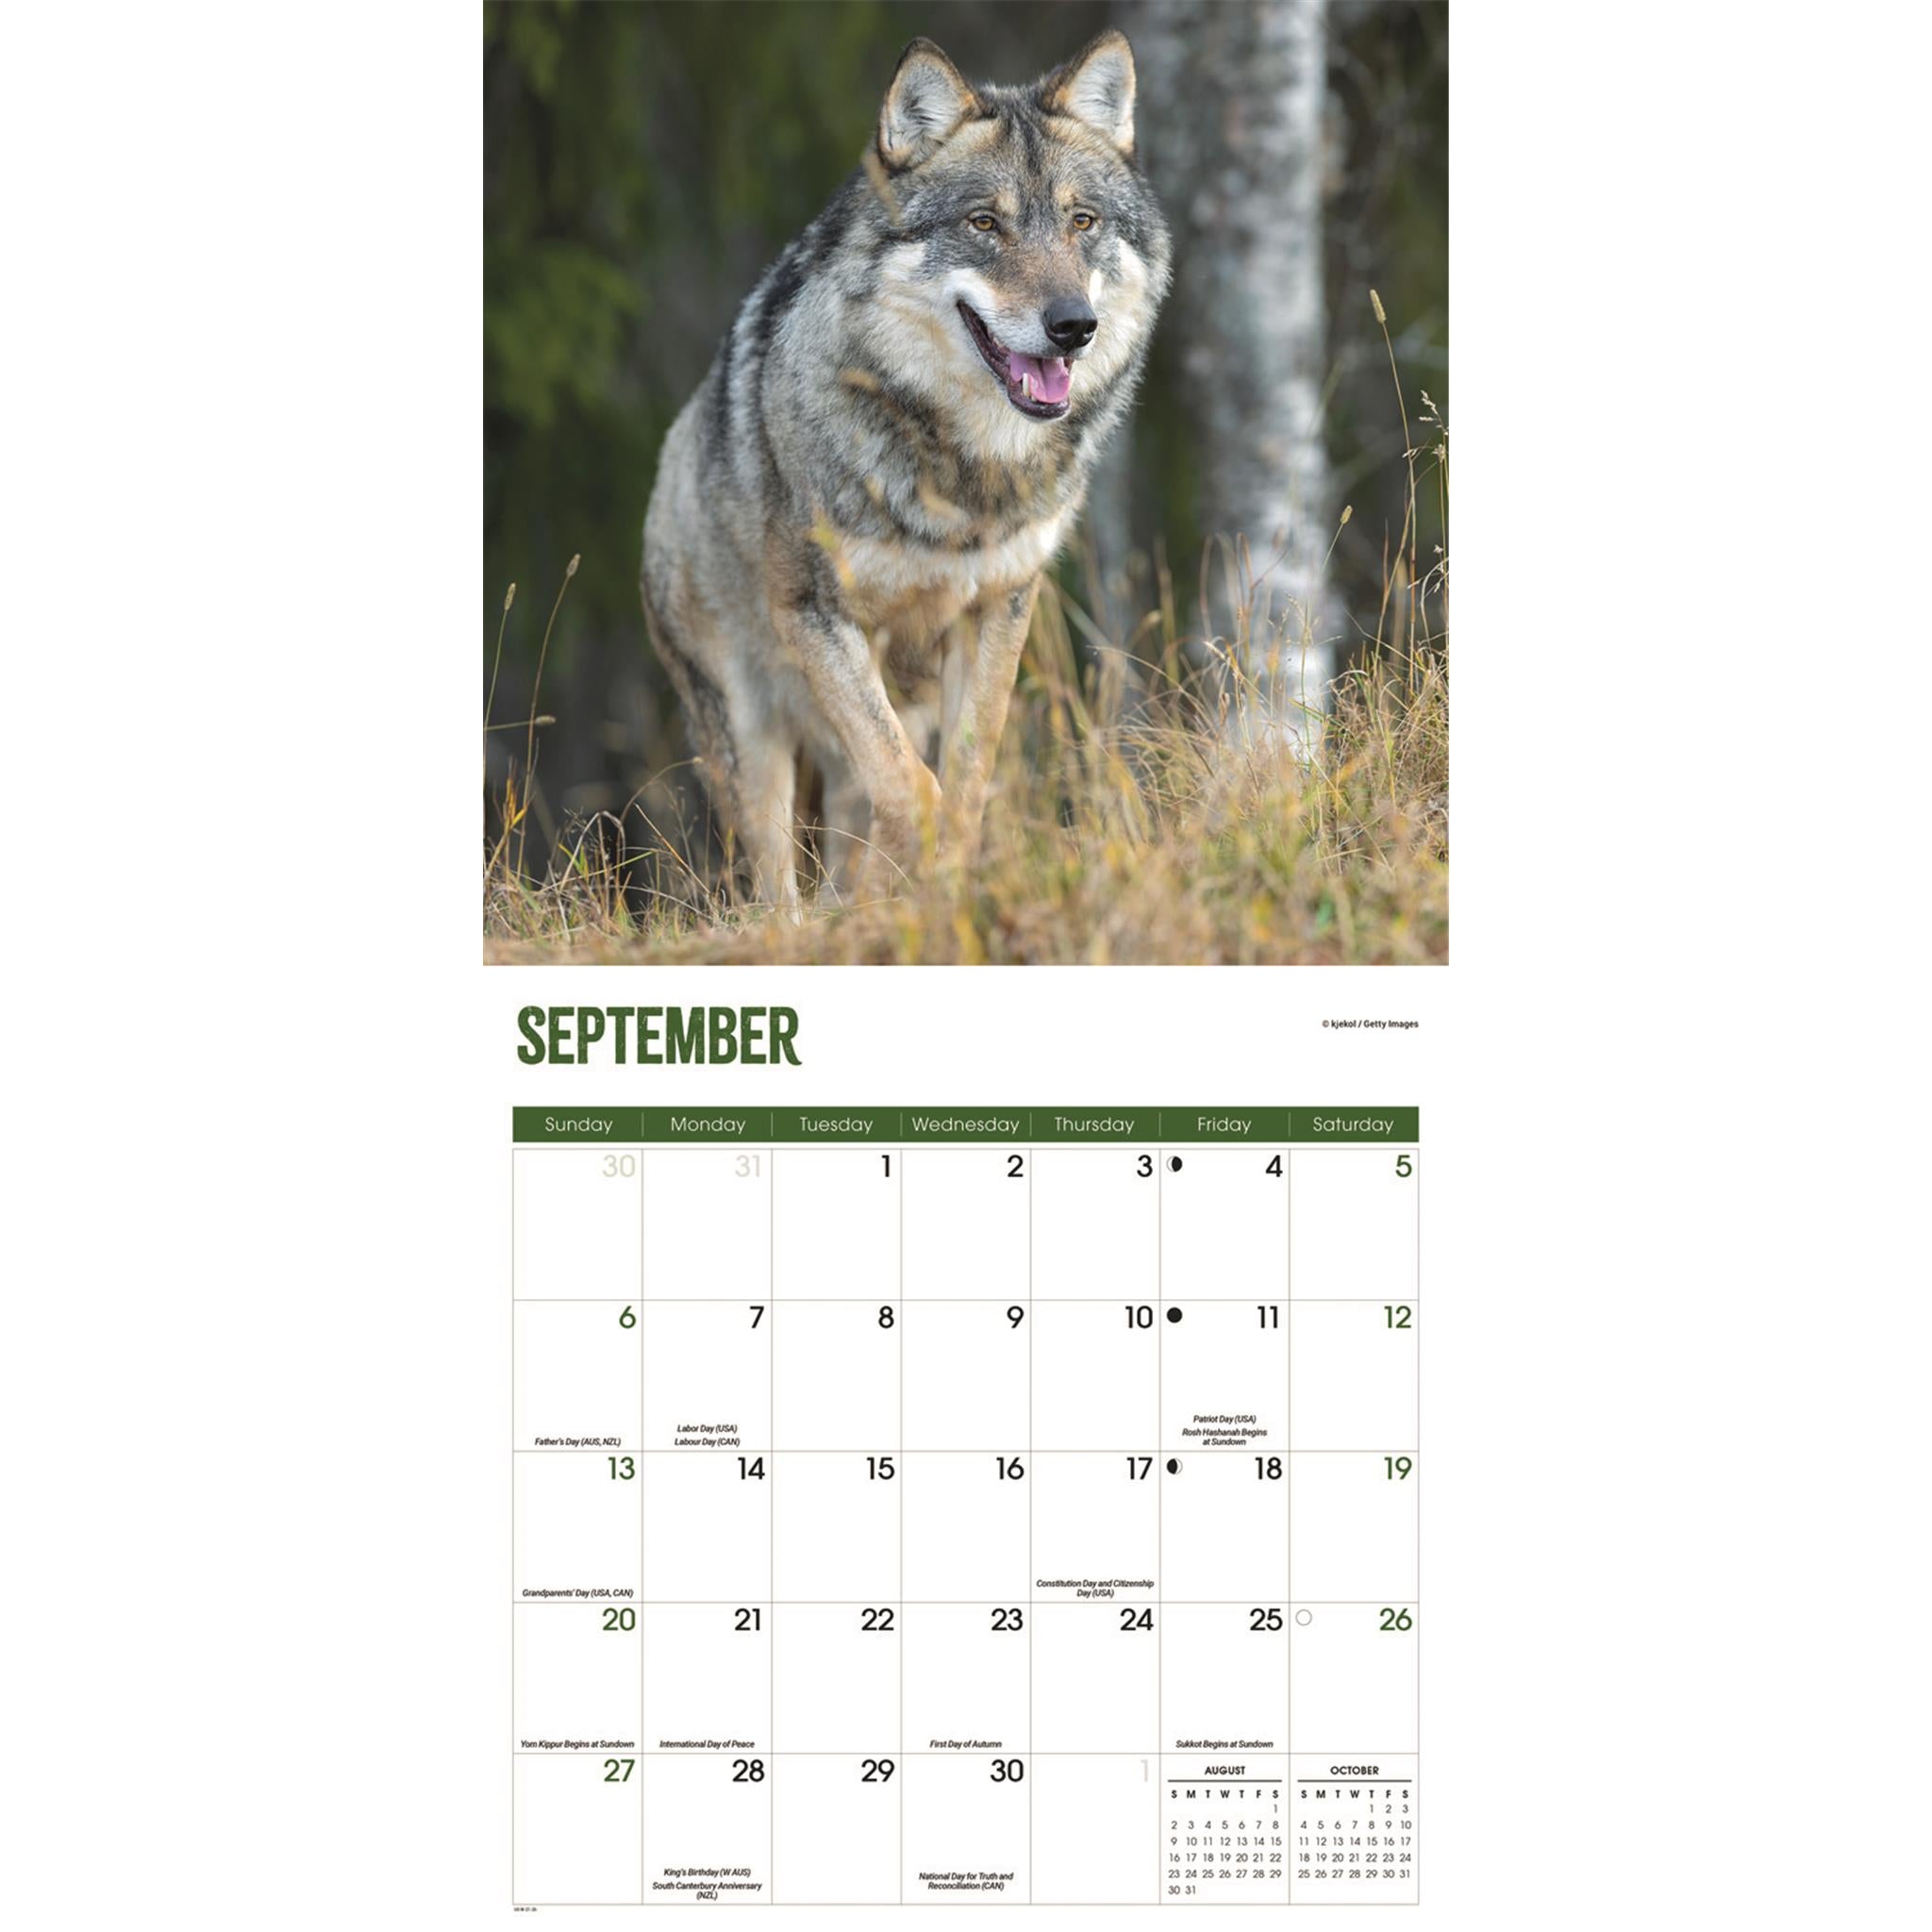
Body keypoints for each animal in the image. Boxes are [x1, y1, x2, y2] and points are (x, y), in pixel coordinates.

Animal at [641, 30, 1170, 914]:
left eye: (1082, 221)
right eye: (985, 223)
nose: (1074, 326)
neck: (962, 475)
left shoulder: (998, 609)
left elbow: (964, 780)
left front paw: (946, 887)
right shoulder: (817, 615)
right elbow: (912, 786)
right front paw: (920, 880)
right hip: (752, 735)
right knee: (776, 880)